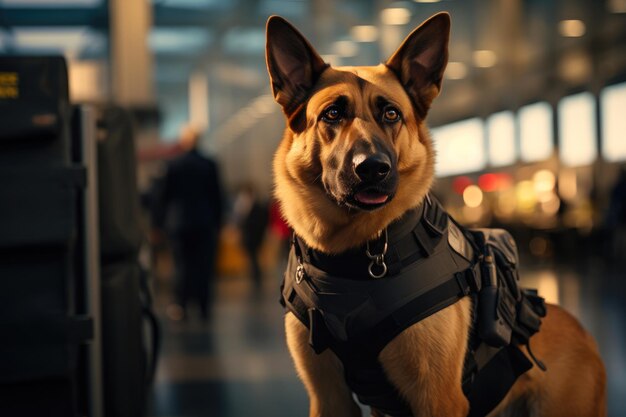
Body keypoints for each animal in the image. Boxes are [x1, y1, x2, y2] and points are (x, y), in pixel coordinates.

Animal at [264, 12, 604, 416]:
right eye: (332, 114)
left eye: (391, 114)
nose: (373, 168)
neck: (352, 257)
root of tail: (586, 334)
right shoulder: (329, 397)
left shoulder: (438, 399)